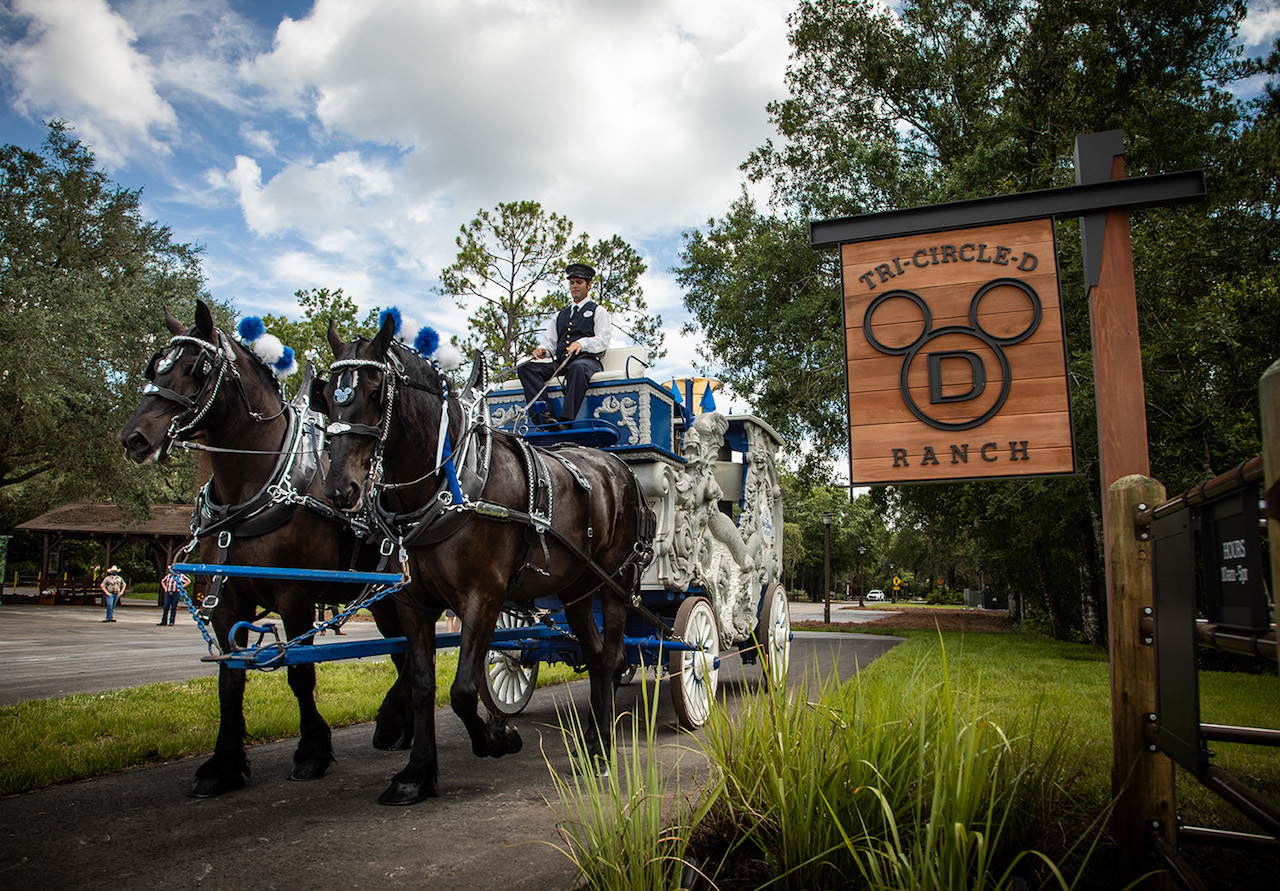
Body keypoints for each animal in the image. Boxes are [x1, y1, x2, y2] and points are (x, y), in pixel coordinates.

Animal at [118, 303, 412, 798]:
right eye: (155, 367)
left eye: (197, 368)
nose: (135, 437)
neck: (254, 488)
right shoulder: (223, 598)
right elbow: (230, 678)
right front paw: (223, 763)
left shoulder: (295, 596)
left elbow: (300, 673)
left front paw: (312, 751)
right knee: (402, 650)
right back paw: (399, 724)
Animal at [320, 316, 660, 803]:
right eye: (329, 392)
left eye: (375, 390)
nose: (339, 487)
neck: (449, 486)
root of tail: (622, 469)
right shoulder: (413, 603)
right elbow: (423, 685)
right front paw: (417, 773)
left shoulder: (484, 596)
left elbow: (463, 689)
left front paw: (497, 738)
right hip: (577, 589)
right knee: (596, 657)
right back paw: (591, 741)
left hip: (613, 583)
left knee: (613, 658)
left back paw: (601, 751)